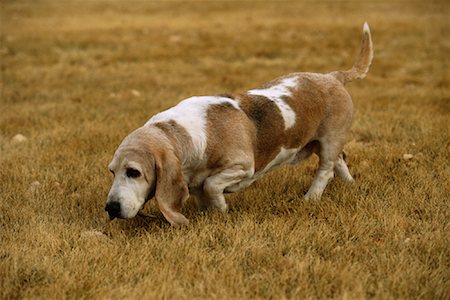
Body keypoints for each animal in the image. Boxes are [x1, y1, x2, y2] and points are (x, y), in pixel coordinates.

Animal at [104, 22, 372, 225]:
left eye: (134, 172)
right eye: (112, 171)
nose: (111, 208)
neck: (184, 134)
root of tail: (332, 77)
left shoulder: (242, 166)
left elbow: (212, 185)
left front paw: (220, 210)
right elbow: (202, 190)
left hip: (328, 141)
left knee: (326, 170)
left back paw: (311, 197)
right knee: (340, 161)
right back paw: (349, 185)